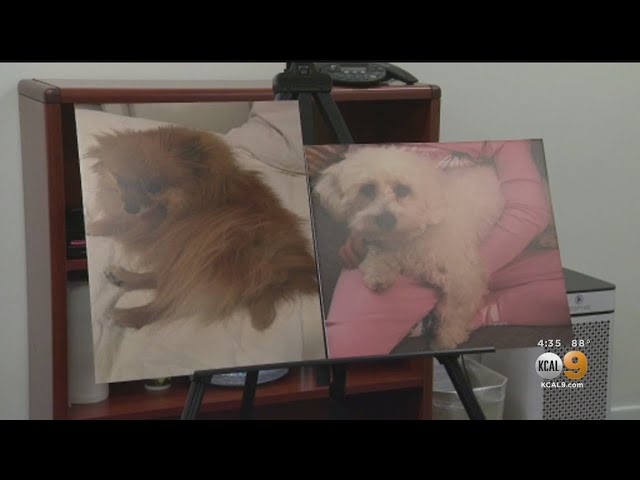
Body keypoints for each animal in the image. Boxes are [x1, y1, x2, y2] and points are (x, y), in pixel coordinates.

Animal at [85, 125, 318, 331]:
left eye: (154, 187)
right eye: (121, 181)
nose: (131, 206)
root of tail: (291, 272)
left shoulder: (157, 226)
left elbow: (124, 223)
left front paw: (97, 225)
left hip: (214, 243)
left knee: (170, 301)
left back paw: (128, 314)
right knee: (165, 279)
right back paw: (121, 277)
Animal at [314, 146, 505, 349]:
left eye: (402, 189)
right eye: (367, 189)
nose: (386, 219)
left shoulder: (465, 281)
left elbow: (456, 312)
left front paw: (447, 338)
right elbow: (379, 254)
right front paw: (379, 271)